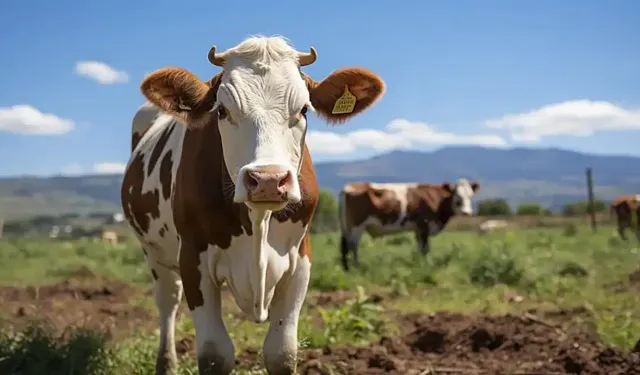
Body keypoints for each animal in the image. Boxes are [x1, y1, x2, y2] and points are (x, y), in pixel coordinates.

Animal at [121, 36, 384, 375]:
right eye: (222, 110)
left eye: (304, 109)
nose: (268, 179)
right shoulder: (193, 260)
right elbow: (214, 354)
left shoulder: (300, 260)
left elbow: (281, 353)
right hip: (154, 253)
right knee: (167, 301)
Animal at [338, 178, 478, 270]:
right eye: (457, 196)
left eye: (471, 196)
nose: (466, 212)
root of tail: (348, 187)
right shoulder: (424, 226)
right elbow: (425, 249)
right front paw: (427, 265)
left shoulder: (418, 229)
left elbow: (420, 248)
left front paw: (419, 264)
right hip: (356, 226)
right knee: (353, 246)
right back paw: (357, 267)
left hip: (346, 227)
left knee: (344, 247)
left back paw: (346, 269)